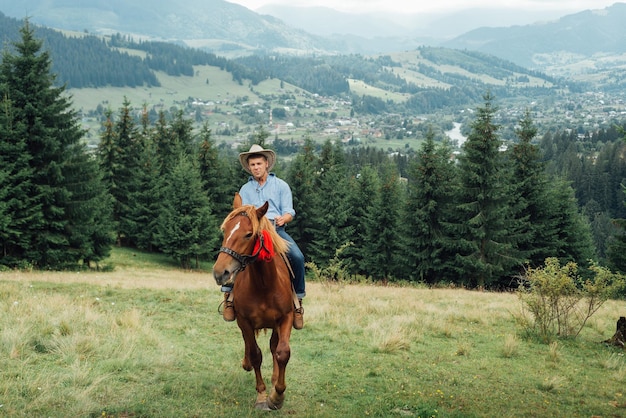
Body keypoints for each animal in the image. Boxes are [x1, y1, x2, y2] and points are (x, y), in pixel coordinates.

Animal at [212, 194, 294, 410]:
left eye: (249, 234)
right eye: (225, 230)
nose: (219, 272)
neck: (264, 284)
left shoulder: (286, 317)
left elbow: (282, 352)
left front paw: (277, 395)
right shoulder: (245, 321)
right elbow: (256, 354)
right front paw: (262, 396)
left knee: (274, 347)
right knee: (249, 346)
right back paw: (247, 362)